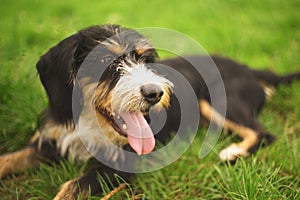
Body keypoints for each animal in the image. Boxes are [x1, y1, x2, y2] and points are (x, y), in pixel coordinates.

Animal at [0, 24, 300, 198]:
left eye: (145, 59)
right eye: (106, 61)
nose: (155, 93)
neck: (90, 123)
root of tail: (251, 69)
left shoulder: (119, 167)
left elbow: (73, 187)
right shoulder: (51, 139)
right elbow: (10, 158)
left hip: (223, 101)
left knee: (262, 133)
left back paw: (233, 151)